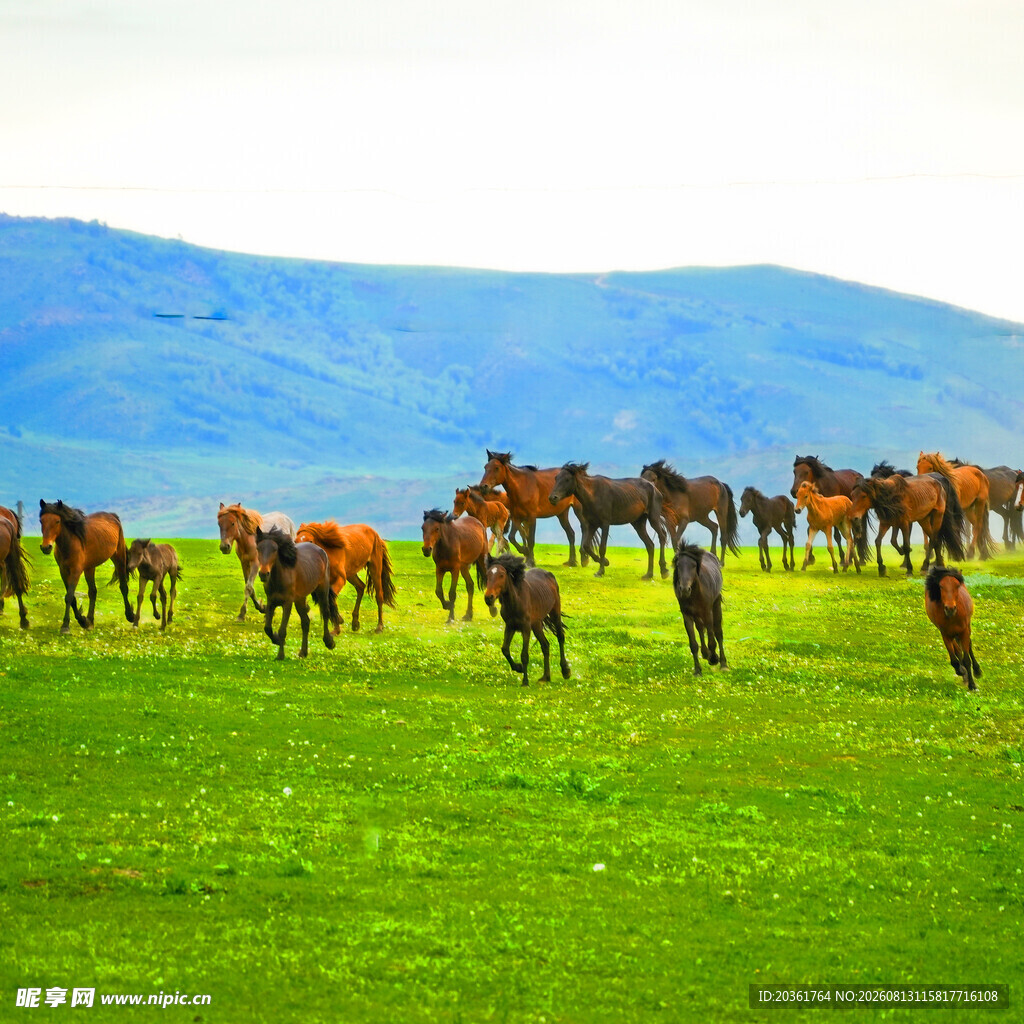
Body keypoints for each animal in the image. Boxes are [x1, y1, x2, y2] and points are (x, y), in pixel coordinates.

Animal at [39, 499, 134, 633]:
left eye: (57, 521)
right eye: (41, 521)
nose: (46, 547)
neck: (70, 544)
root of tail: (113, 516)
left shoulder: (76, 571)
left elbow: (69, 596)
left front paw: (65, 626)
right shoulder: (63, 571)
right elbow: (72, 598)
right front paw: (83, 621)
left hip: (119, 558)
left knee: (123, 587)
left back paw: (130, 616)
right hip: (90, 567)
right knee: (93, 591)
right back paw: (90, 621)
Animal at [255, 527, 340, 660]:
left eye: (275, 549)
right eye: (258, 548)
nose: (264, 574)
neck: (279, 578)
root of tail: (321, 550)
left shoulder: (287, 603)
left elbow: (282, 630)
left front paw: (280, 655)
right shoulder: (271, 602)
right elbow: (267, 628)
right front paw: (277, 640)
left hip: (322, 590)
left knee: (325, 613)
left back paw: (329, 642)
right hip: (300, 599)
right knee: (305, 622)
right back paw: (303, 652)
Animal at [483, 553, 570, 687]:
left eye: (501, 575)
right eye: (488, 575)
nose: (489, 597)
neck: (516, 601)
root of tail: (549, 575)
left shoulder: (525, 628)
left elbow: (524, 655)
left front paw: (525, 681)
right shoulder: (510, 626)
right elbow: (505, 649)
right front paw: (518, 668)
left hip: (554, 613)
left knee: (560, 637)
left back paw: (565, 671)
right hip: (536, 624)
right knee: (545, 645)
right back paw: (546, 677)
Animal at [672, 542, 727, 675]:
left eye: (693, 566)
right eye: (678, 565)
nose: (684, 589)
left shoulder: (707, 612)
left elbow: (712, 639)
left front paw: (714, 658)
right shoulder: (687, 615)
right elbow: (693, 644)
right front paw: (697, 670)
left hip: (716, 606)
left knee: (718, 632)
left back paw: (723, 663)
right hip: (697, 615)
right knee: (701, 629)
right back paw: (706, 654)